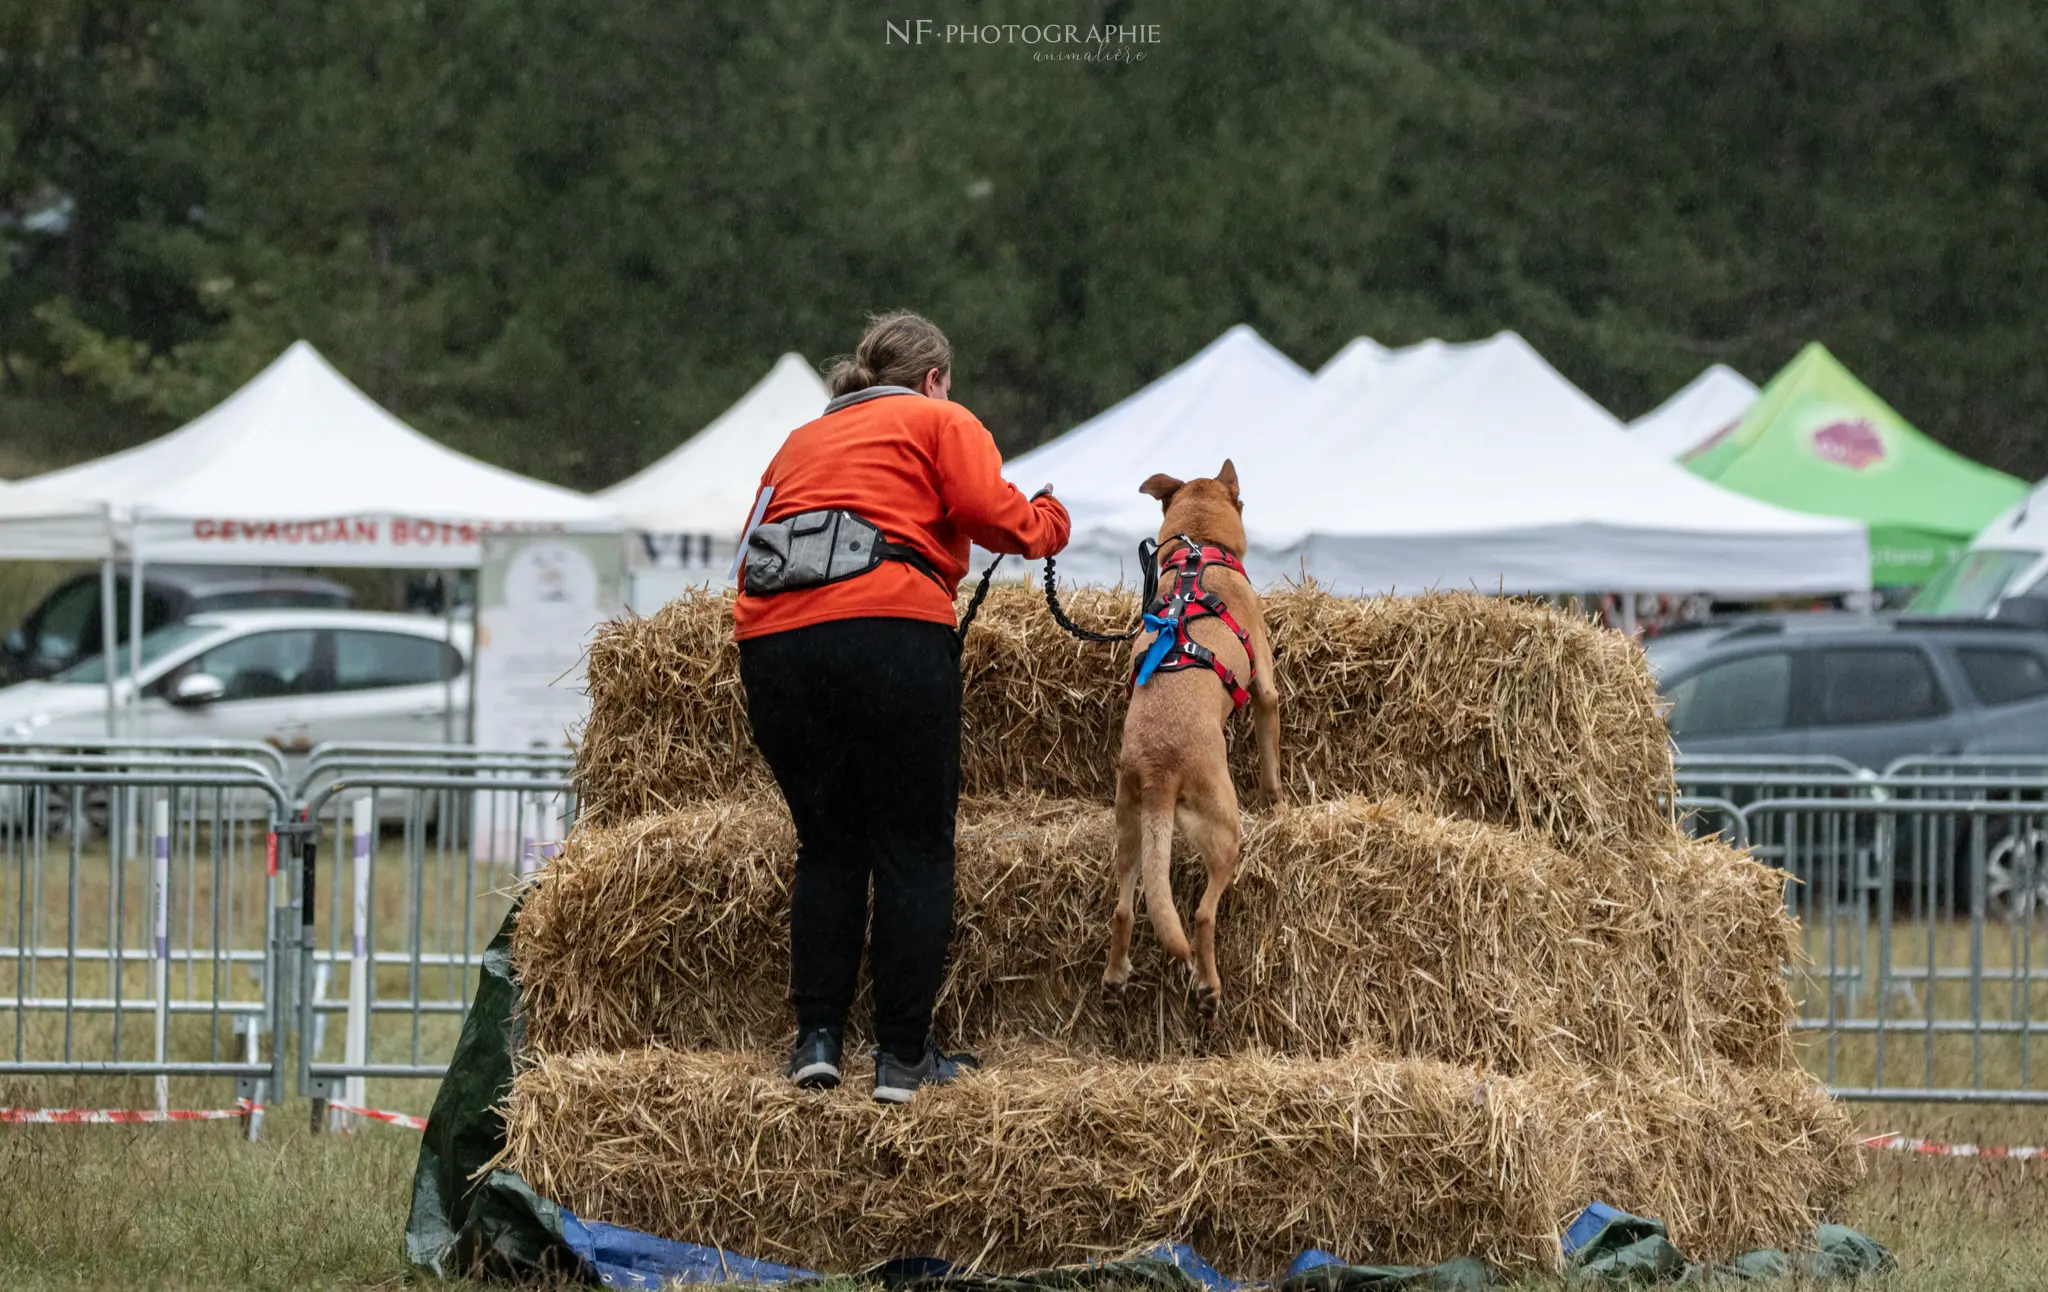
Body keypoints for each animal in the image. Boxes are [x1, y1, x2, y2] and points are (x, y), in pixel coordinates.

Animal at [1105, 460, 1277, 1015]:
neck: (1199, 548)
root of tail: (1160, 772)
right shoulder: (1266, 687)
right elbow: (1271, 763)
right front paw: (1279, 805)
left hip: (1130, 832)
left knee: (1124, 909)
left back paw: (1114, 978)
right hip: (1224, 830)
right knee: (1202, 915)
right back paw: (1208, 987)